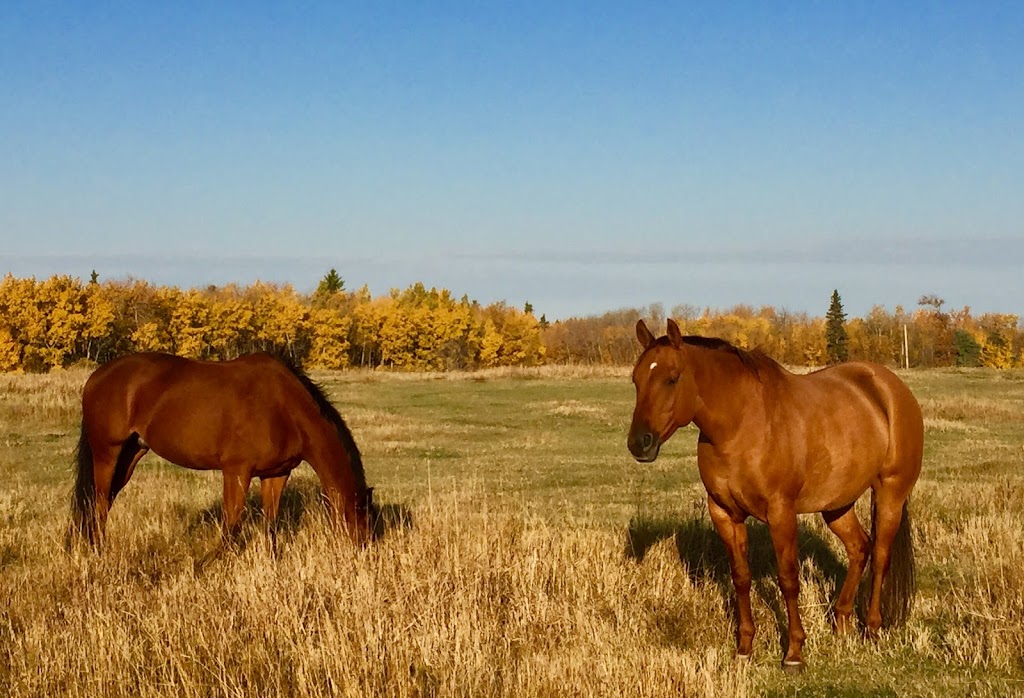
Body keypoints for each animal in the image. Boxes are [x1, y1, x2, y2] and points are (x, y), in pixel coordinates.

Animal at [72, 350, 376, 544]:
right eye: (361, 520)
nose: (362, 551)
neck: (285, 407)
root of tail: (96, 377)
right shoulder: (236, 471)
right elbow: (231, 527)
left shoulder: (276, 474)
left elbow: (270, 527)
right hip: (108, 453)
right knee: (99, 502)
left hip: (131, 454)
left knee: (104, 501)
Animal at [626, 319, 925, 667]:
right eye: (636, 379)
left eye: (672, 379)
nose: (639, 443)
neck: (741, 425)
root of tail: (889, 387)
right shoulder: (724, 513)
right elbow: (741, 577)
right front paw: (744, 647)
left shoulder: (781, 512)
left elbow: (788, 579)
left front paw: (794, 652)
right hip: (837, 504)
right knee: (859, 548)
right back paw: (842, 622)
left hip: (890, 493)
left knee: (879, 557)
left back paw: (873, 629)